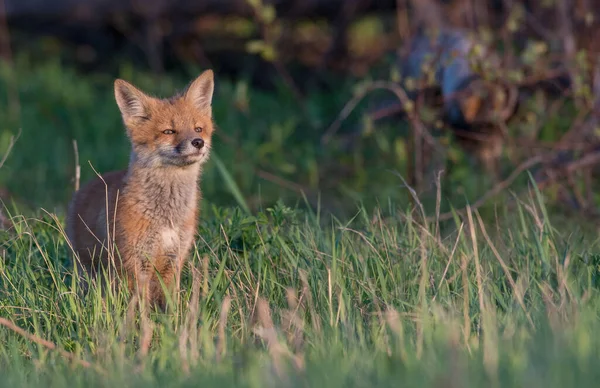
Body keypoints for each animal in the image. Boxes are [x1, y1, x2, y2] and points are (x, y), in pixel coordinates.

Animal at [66, 69, 216, 306]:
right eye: (169, 131)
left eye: (198, 129)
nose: (198, 142)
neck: (166, 217)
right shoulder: (135, 262)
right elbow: (141, 308)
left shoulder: (174, 260)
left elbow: (170, 305)